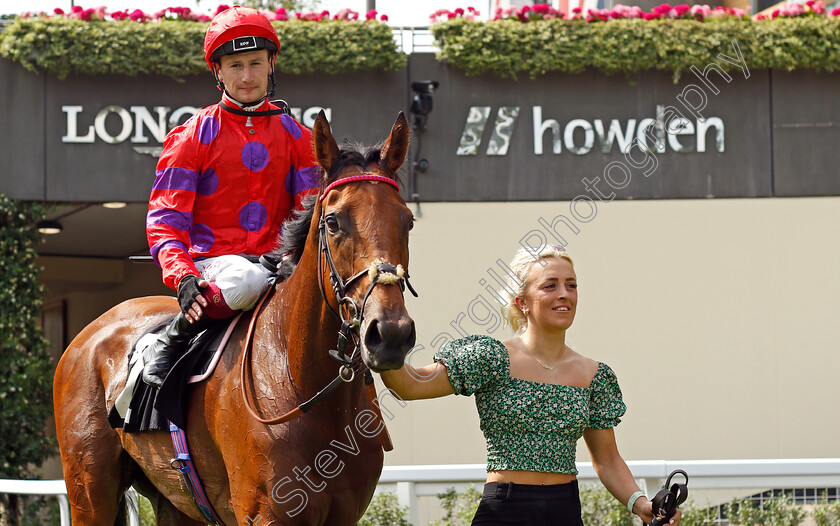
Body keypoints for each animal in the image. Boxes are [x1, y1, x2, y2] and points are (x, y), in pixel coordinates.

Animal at [54, 113, 416, 524]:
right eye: (334, 222)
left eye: (407, 220)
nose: (390, 333)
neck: (298, 380)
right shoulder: (266, 512)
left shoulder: (344, 513)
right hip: (90, 489)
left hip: (175, 501)